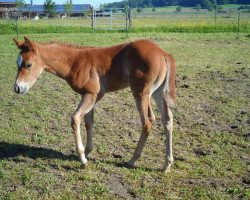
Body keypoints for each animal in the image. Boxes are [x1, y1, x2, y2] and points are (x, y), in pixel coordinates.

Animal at [12, 36, 176, 173]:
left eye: (28, 64)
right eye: (17, 64)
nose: (17, 88)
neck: (74, 62)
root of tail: (163, 53)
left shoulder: (92, 94)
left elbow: (75, 119)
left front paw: (83, 159)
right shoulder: (88, 95)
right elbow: (88, 122)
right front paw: (87, 151)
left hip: (141, 93)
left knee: (148, 121)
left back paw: (132, 160)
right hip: (158, 93)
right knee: (167, 120)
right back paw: (166, 165)